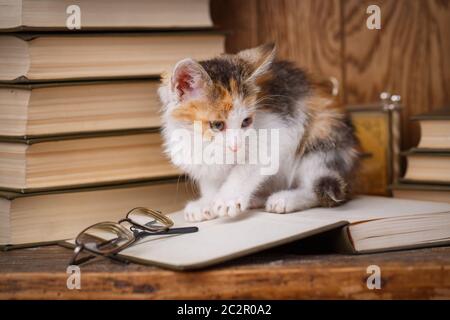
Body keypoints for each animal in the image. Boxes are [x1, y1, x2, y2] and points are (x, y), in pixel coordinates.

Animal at [158, 43, 358, 222]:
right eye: (217, 125)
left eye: (246, 121)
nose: (236, 146)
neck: (202, 140)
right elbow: (210, 177)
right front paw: (207, 202)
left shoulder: (280, 129)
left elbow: (250, 166)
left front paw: (227, 198)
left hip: (324, 133)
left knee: (321, 187)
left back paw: (285, 199)